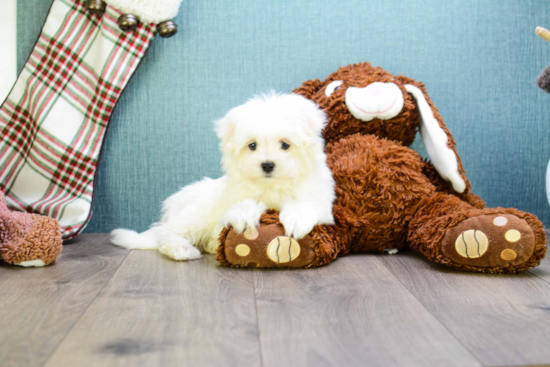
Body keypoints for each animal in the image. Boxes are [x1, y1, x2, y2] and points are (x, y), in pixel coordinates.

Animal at [111, 93, 336, 260]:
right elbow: (240, 206)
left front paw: (296, 220)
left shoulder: (321, 200)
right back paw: (182, 249)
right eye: (252, 145)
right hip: (196, 214)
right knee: (166, 232)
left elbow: (306, 204)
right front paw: (245, 216)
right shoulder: (231, 198)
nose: (267, 165)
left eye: (285, 144)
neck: (271, 186)